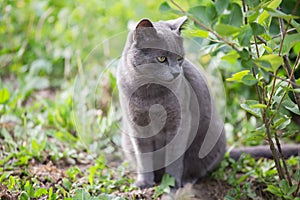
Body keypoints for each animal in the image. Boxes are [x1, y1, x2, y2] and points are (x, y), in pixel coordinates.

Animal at [116, 16, 298, 188]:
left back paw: (187, 180)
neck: (149, 94)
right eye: (161, 58)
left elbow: (174, 157)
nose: (176, 72)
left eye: (180, 58)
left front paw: (172, 183)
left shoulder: (179, 123)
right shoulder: (137, 127)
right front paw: (144, 183)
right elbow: (143, 158)